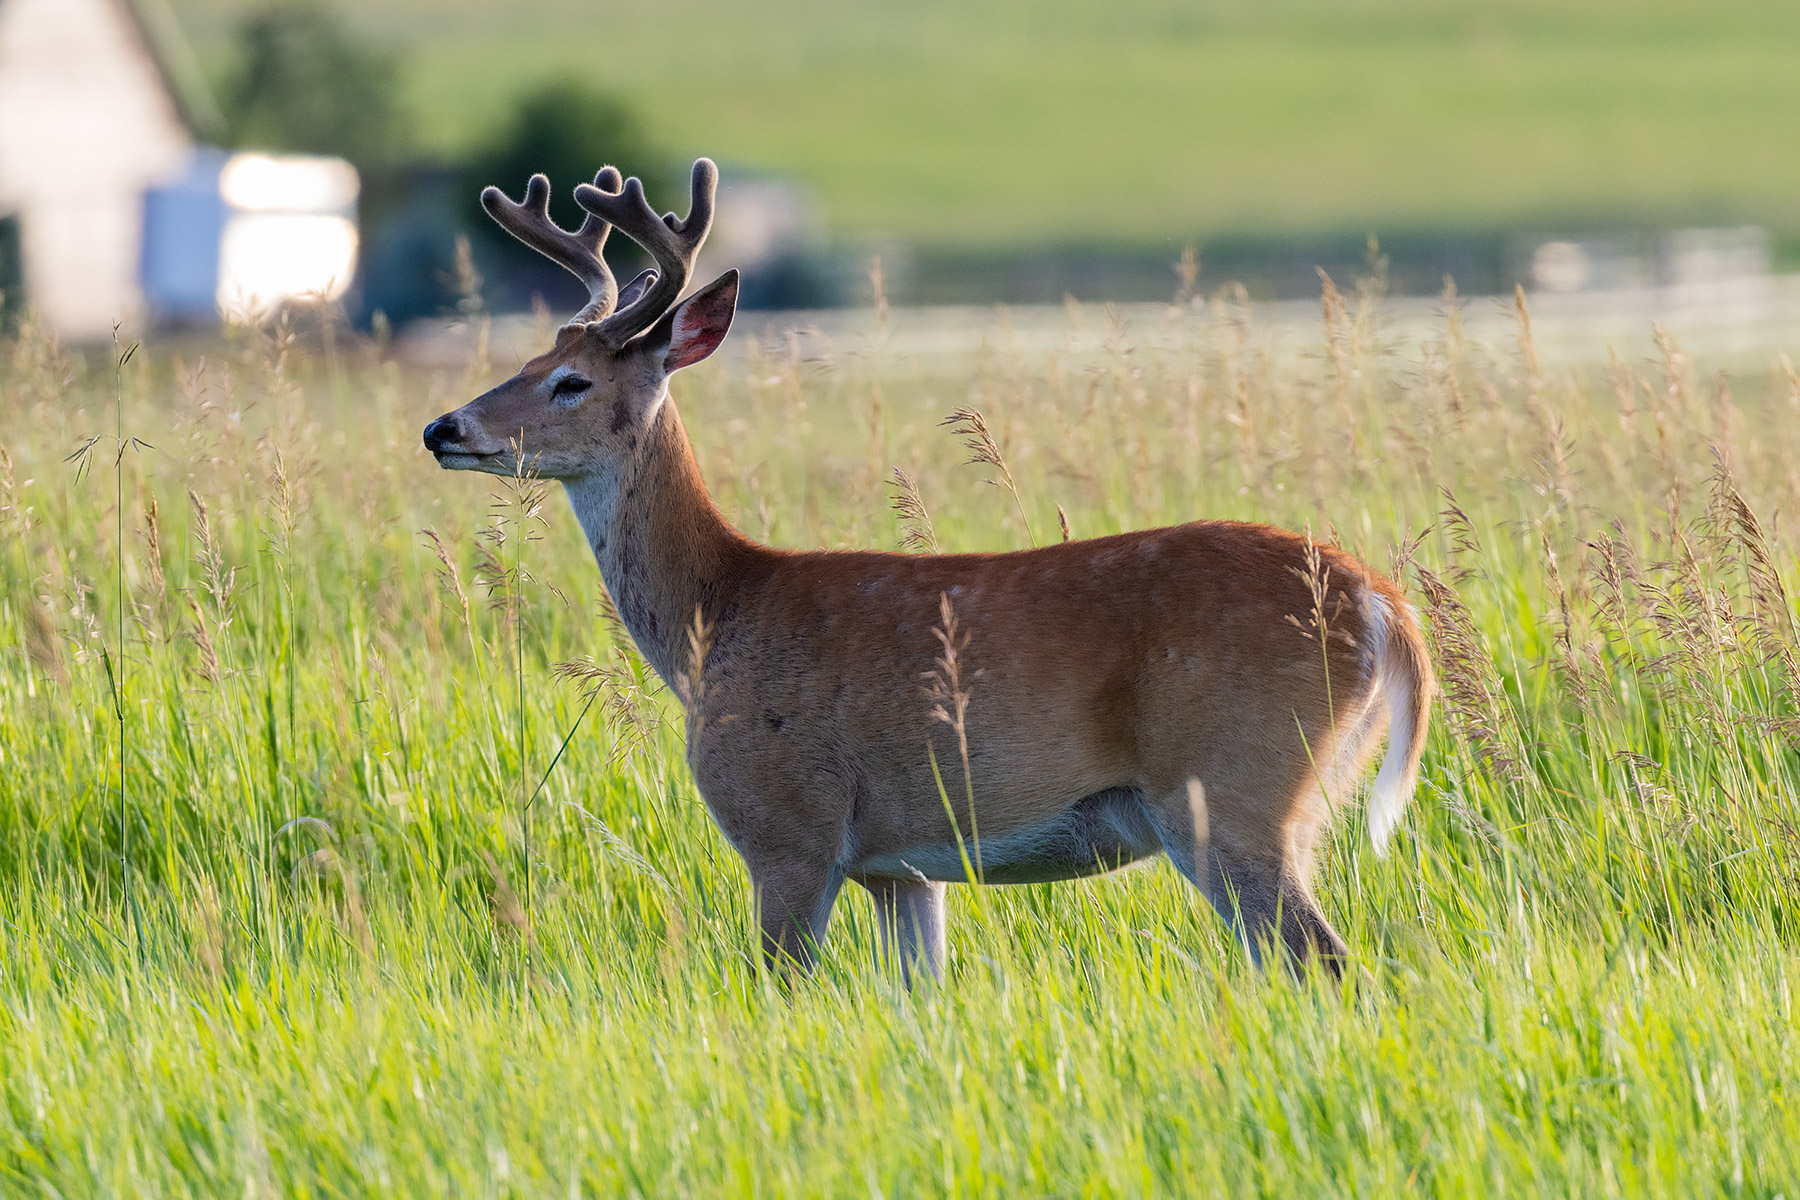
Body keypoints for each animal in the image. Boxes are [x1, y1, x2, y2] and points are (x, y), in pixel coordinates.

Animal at [422, 157, 1434, 985]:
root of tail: (1382, 606)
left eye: (572, 383)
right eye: (529, 357)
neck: (717, 615)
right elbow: (919, 992)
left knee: (1325, 960)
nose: (443, 428)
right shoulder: (901, 867)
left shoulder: (789, 825)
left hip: (1233, 789)